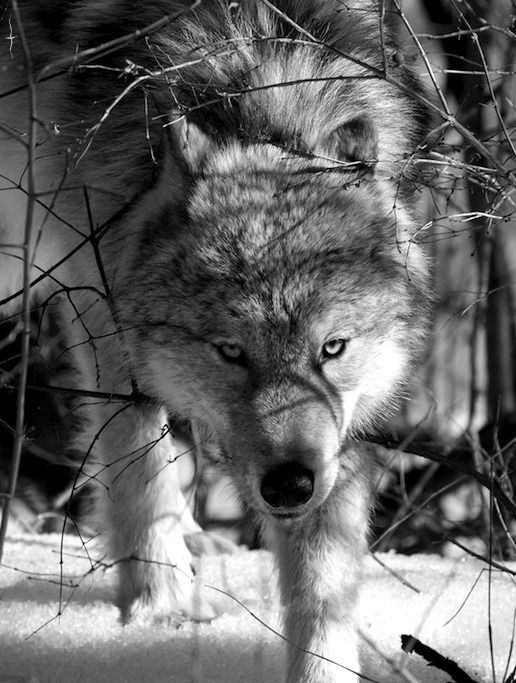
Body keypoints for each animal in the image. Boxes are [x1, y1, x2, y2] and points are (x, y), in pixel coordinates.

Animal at [0, 1, 432, 681]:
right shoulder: (102, 314)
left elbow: (321, 586)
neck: (258, 85)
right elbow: (139, 471)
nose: (289, 486)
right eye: (231, 351)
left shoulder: (343, 434)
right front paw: (158, 613)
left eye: (333, 349)